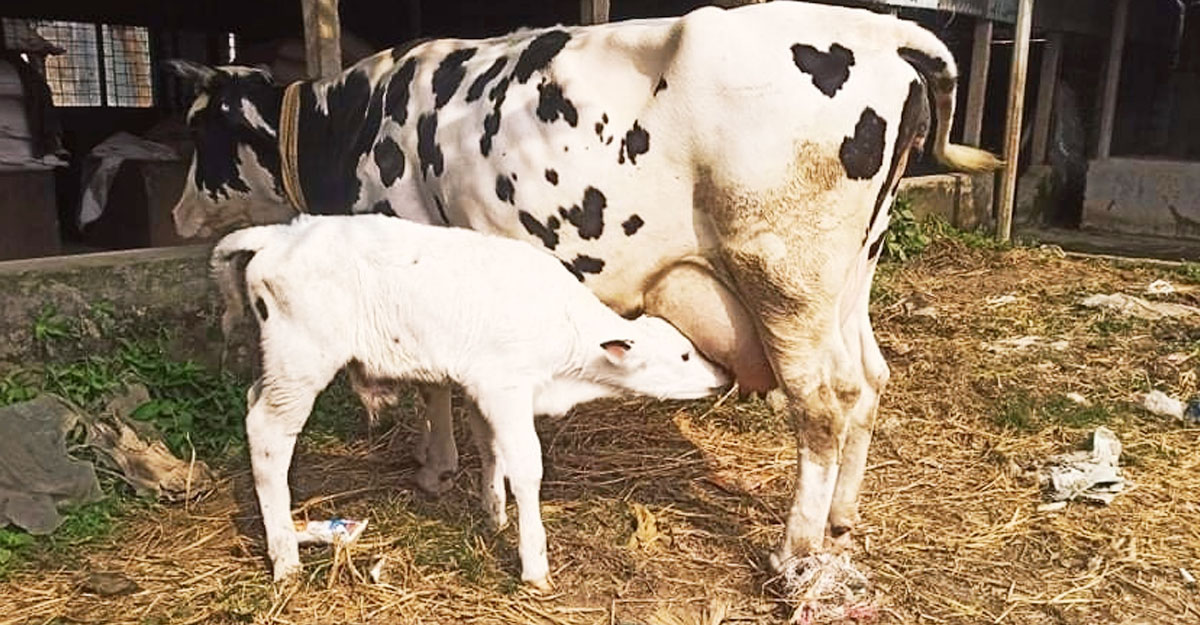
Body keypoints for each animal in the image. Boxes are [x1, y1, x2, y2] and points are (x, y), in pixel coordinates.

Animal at [211, 214, 724, 585]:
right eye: (683, 354)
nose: (722, 376)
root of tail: (280, 234)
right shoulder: (507, 387)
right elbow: (526, 466)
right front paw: (534, 564)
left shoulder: (481, 385)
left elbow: (488, 445)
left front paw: (493, 512)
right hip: (302, 360)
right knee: (268, 434)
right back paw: (285, 557)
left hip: (280, 363)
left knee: (253, 400)